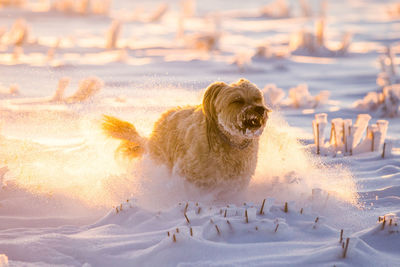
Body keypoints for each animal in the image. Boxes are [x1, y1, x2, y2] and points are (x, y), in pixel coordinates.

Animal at [103, 78, 270, 189]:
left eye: (257, 98)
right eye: (237, 100)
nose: (260, 109)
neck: (231, 140)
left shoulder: (239, 177)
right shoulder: (190, 172)